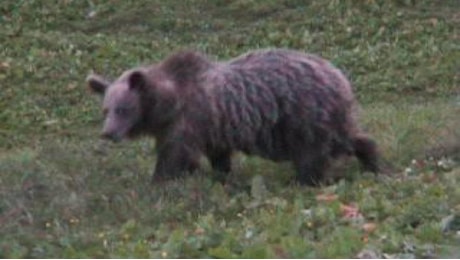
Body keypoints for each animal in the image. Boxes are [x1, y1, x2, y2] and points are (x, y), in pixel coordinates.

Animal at [88, 48, 380, 185]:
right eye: (105, 110)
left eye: (123, 108)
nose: (108, 132)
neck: (167, 106)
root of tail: (339, 76)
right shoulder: (211, 128)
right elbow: (217, 157)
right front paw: (220, 176)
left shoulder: (190, 120)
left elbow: (175, 156)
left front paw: (158, 182)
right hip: (325, 118)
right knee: (349, 138)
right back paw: (373, 163)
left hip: (303, 116)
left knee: (313, 154)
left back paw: (304, 180)